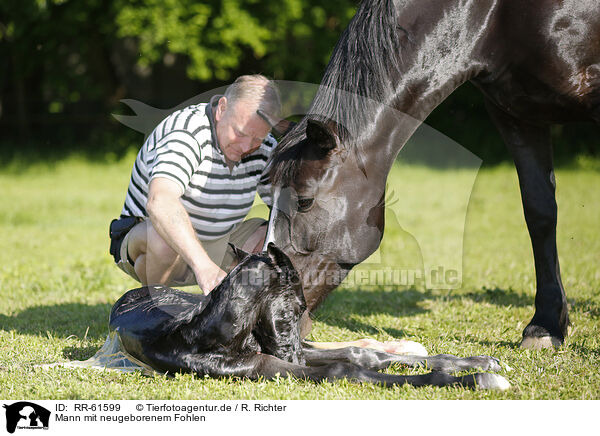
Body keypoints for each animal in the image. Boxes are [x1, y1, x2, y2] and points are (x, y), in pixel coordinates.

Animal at [110, 244, 508, 390]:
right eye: (298, 308)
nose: (296, 357)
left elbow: (357, 357)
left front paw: (475, 368)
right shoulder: (264, 367)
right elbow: (343, 369)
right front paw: (475, 379)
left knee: (359, 349)